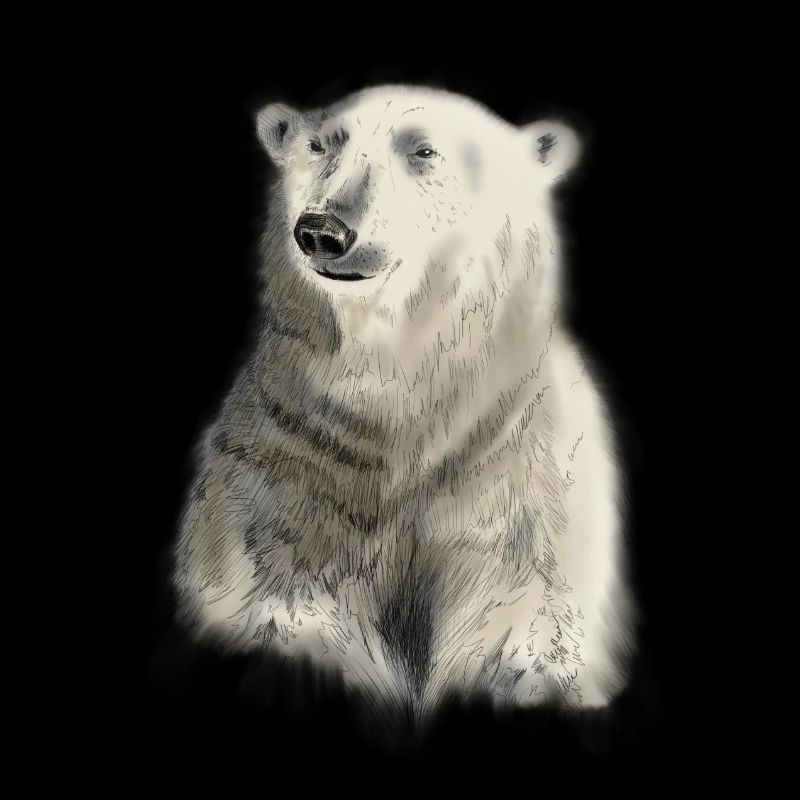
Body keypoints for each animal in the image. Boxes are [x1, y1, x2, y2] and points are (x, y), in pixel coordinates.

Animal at [172, 84, 634, 732]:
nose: (322, 228)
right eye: (321, 144)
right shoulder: (294, 469)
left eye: (423, 150)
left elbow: (526, 619)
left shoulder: (521, 486)